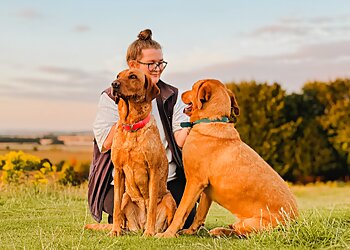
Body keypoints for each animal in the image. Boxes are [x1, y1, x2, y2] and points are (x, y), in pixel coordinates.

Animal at [158, 79, 298, 237]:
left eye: (194, 87)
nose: (180, 93)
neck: (211, 121)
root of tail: (295, 223)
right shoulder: (206, 190)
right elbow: (199, 215)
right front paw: (190, 231)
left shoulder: (195, 182)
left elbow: (181, 211)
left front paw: (167, 234)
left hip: (252, 223)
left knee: (242, 233)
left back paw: (221, 230)